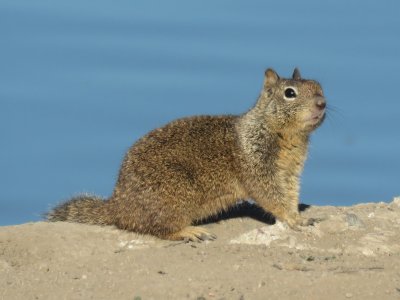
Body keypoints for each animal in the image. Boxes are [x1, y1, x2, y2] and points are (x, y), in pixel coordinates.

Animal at [47, 68, 328, 241]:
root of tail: (118, 207)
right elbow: (271, 196)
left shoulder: (290, 172)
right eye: (289, 93)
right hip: (176, 194)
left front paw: (299, 217)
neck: (286, 136)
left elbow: (290, 194)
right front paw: (291, 219)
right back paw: (190, 232)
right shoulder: (256, 164)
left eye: (319, 86)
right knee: (158, 228)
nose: (322, 104)